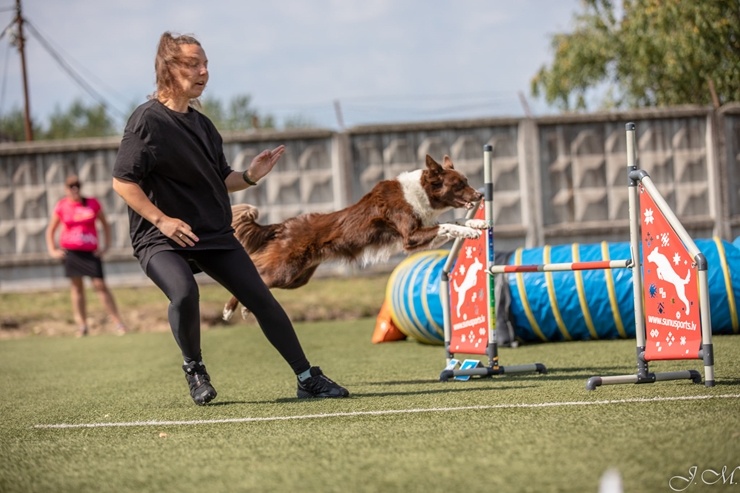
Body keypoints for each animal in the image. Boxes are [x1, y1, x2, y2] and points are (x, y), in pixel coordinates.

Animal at [223, 156, 488, 320]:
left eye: (467, 181)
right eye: (459, 184)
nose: (480, 194)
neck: (420, 192)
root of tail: (284, 225)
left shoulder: (423, 232)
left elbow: (454, 221)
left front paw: (477, 223)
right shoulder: (410, 237)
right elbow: (447, 224)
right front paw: (471, 231)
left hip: (298, 278)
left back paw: (246, 310)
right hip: (285, 270)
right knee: (258, 274)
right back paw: (228, 310)